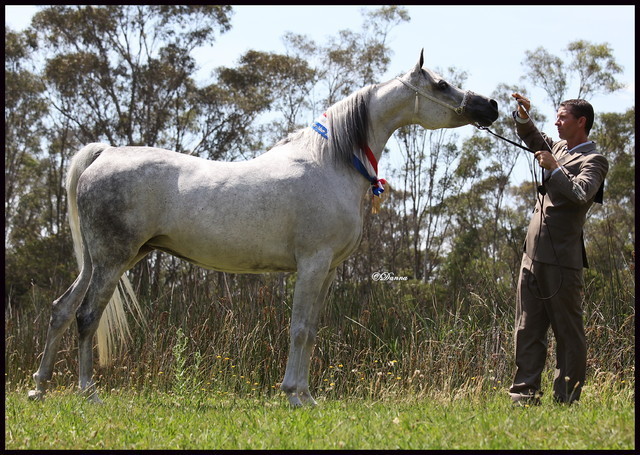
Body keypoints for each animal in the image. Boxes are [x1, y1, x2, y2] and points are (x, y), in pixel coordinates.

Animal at [28, 49, 498, 406]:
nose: (489, 107)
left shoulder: (327, 271)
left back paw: (39, 388)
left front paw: (308, 396)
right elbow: (300, 329)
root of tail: (105, 153)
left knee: (61, 310)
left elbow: (311, 331)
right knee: (86, 316)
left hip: (97, 261)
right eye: (441, 85)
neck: (330, 162)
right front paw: (294, 396)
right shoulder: (312, 265)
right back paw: (88, 393)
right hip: (113, 260)